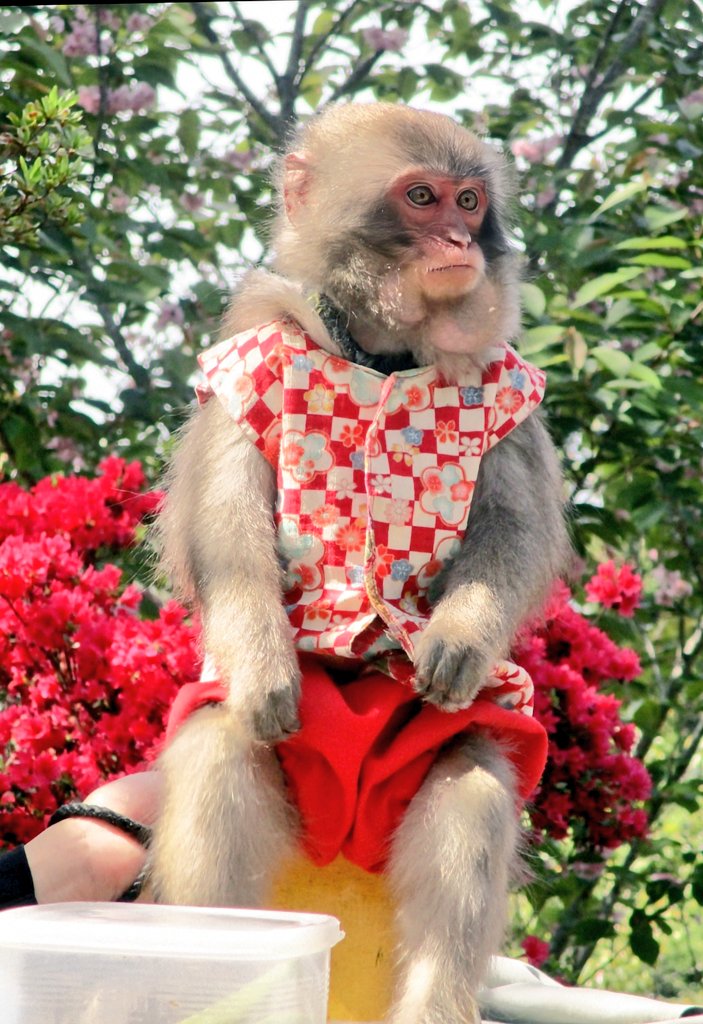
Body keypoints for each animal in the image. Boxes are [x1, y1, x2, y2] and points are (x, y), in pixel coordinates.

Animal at [151, 102, 570, 1024]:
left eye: (467, 200)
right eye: (420, 198)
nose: (457, 238)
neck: (382, 354)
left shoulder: (509, 387)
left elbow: (512, 530)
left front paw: (456, 636)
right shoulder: (249, 361)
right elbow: (228, 528)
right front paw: (263, 663)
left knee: (471, 778)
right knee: (222, 750)